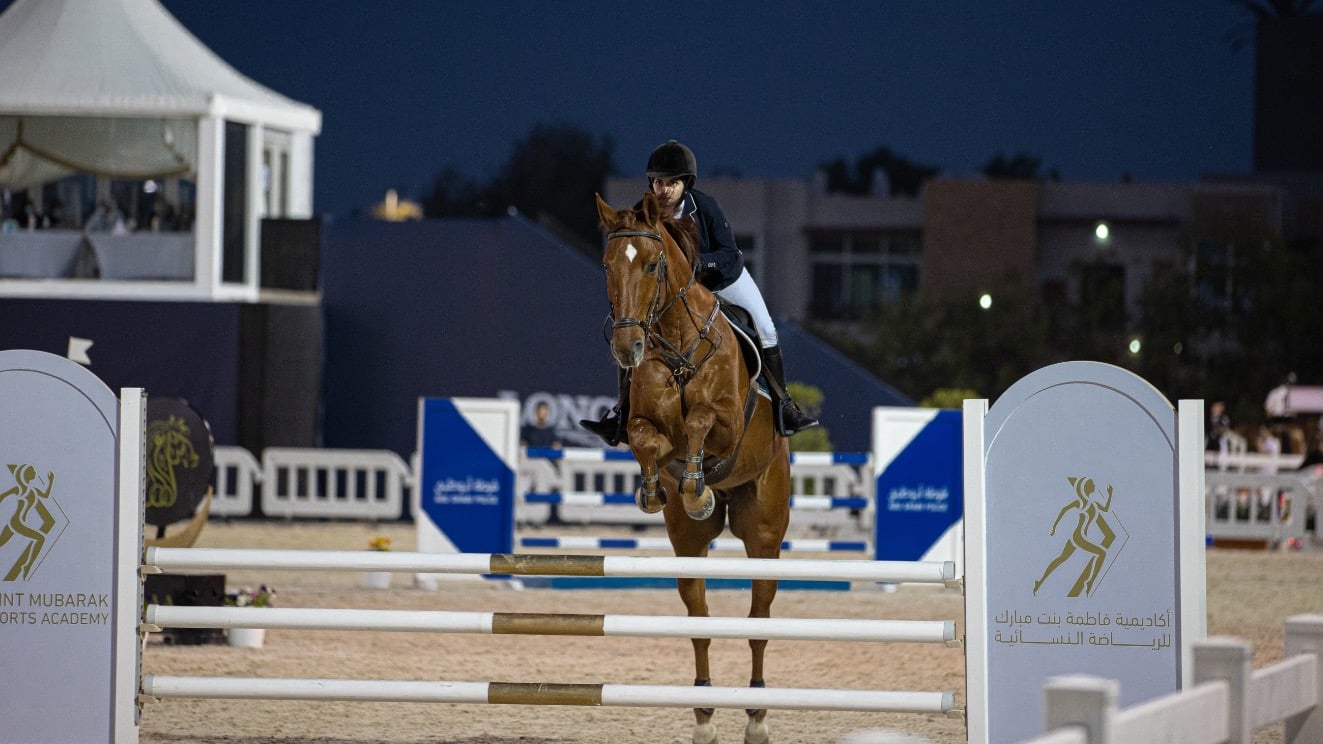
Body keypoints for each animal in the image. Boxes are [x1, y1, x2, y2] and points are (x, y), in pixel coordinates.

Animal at [594, 191, 792, 744]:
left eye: (653, 264)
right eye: (607, 266)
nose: (627, 348)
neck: (678, 342)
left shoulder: (729, 423)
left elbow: (703, 419)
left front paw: (696, 485)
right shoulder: (643, 423)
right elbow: (649, 440)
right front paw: (660, 490)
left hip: (764, 533)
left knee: (759, 620)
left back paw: (756, 716)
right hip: (688, 545)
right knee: (699, 619)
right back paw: (703, 715)